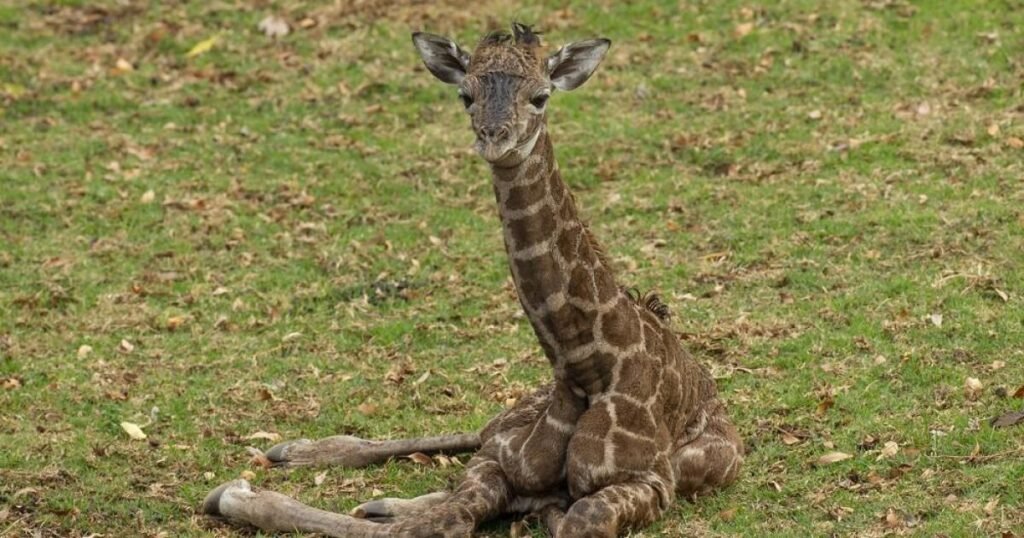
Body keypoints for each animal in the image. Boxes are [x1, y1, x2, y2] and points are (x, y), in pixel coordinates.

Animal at [201, 23, 743, 537]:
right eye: (466, 94)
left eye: (541, 95)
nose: (494, 138)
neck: (585, 369)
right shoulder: (500, 461)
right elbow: (449, 513)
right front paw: (238, 493)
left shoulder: (650, 482)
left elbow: (553, 519)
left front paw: (240, 495)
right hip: (514, 413)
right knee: (471, 437)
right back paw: (296, 452)